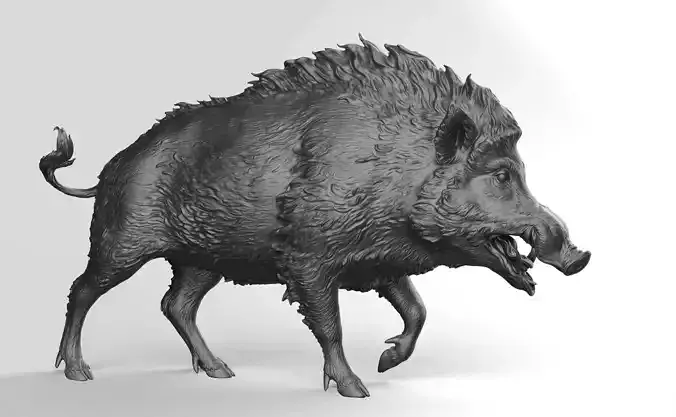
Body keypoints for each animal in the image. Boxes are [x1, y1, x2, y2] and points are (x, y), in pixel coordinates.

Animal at [39, 35, 591, 398]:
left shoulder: (379, 262)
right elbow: (331, 326)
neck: (398, 164)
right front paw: (356, 389)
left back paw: (221, 372)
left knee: (176, 304)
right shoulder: (310, 259)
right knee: (82, 289)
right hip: (122, 241)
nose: (579, 254)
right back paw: (78, 373)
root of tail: (110, 169)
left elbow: (416, 310)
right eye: (501, 174)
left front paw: (386, 363)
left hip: (202, 258)